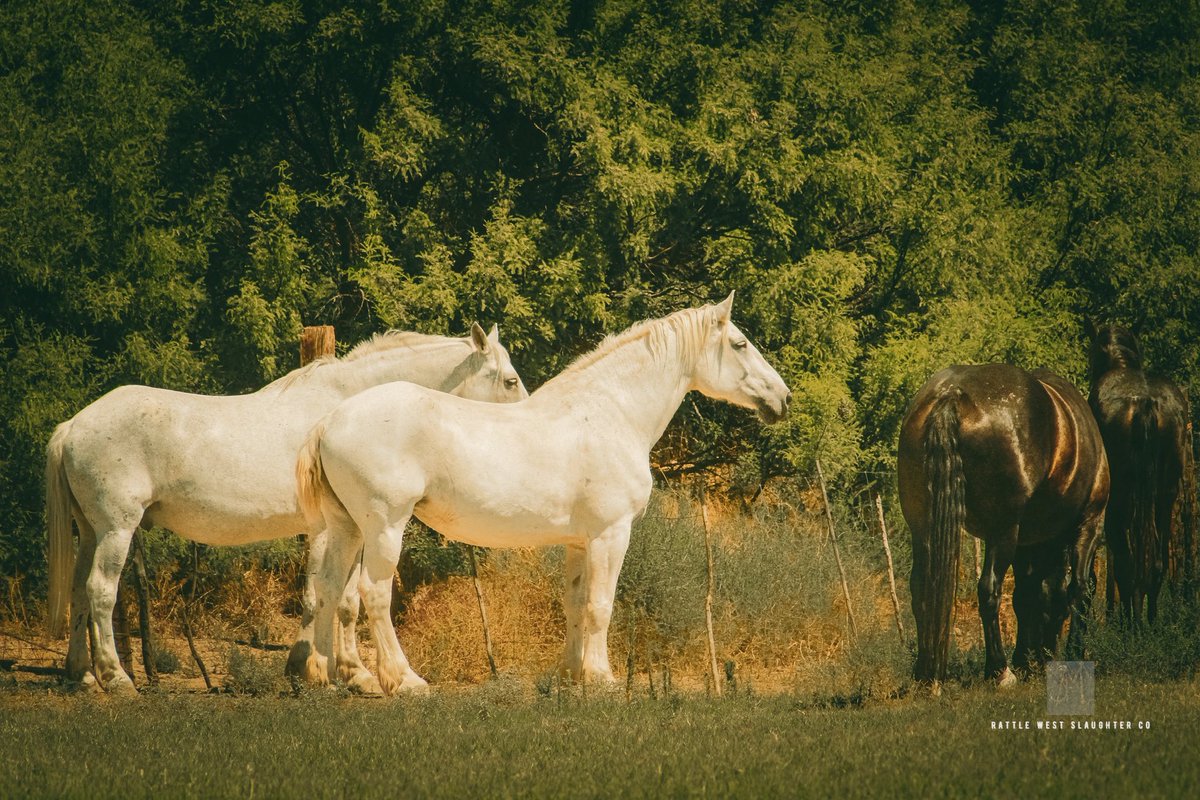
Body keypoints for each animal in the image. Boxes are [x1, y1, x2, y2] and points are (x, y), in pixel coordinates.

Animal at [45, 324, 526, 693]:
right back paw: (116, 677)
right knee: (100, 591)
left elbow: (345, 600)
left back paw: (82, 676)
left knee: (78, 591)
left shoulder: (350, 527)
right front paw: (323, 669)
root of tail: (74, 425)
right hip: (116, 529)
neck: (346, 406)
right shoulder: (328, 529)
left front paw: (345, 672)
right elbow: (324, 596)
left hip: (89, 531)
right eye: (509, 380)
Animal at [288, 293, 791, 695]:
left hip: (347, 527)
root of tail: (330, 421)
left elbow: (575, 605)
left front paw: (571, 675)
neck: (609, 413)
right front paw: (602, 678)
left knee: (330, 589)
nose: (782, 399)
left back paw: (325, 675)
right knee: (373, 594)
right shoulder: (611, 535)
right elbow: (601, 606)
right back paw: (405, 680)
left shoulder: (578, 543)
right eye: (740, 344)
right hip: (385, 526)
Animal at [898, 364, 1109, 691]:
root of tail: (951, 394)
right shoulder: (1089, 524)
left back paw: (926, 676)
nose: (1046, 655)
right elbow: (1078, 591)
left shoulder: (1028, 541)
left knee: (921, 589)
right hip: (1003, 532)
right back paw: (999, 670)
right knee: (989, 589)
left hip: (923, 530)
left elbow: (1027, 595)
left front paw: (1025, 660)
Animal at [1086, 322, 1189, 624]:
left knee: (1127, 563)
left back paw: (1133, 624)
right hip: (1165, 494)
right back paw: (1150, 623)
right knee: (1156, 563)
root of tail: (1145, 402)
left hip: (1121, 498)